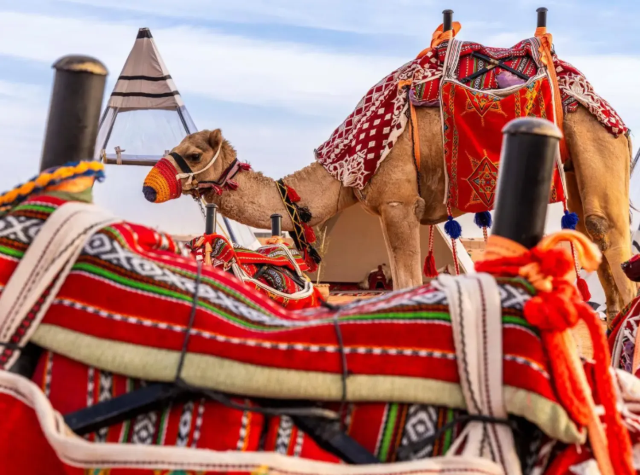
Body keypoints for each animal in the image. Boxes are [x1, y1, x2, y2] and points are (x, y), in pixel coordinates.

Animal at [143, 105, 634, 322]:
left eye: (191, 153)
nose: (148, 186)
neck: (340, 175)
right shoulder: (401, 213)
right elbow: (402, 281)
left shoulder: (398, 203)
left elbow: (407, 282)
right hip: (572, 169)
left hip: (596, 143)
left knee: (610, 238)